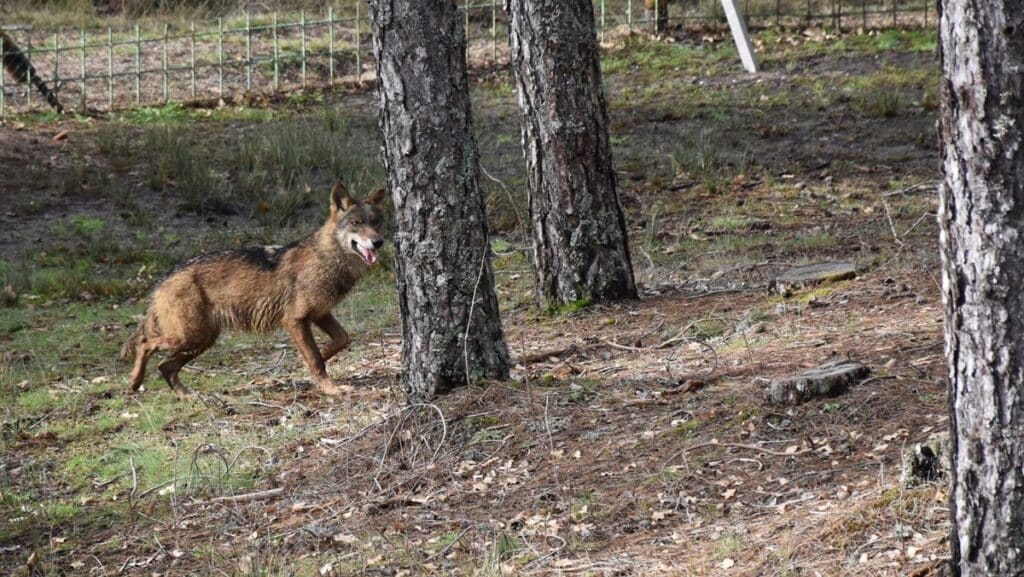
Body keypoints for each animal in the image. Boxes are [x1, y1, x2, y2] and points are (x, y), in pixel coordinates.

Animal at [121, 184, 385, 397]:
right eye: (357, 223)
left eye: (376, 222)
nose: (378, 242)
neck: (327, 258)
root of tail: (163, 280)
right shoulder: (295, 320)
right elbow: (315, 360)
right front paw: (330, 388)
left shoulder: (320, 314)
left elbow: (341, 339)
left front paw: (321, 356)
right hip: (190, 336)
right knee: (145, 344)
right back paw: (134, 382)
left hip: (202, 339)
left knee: (165, 366)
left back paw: (186, 396)